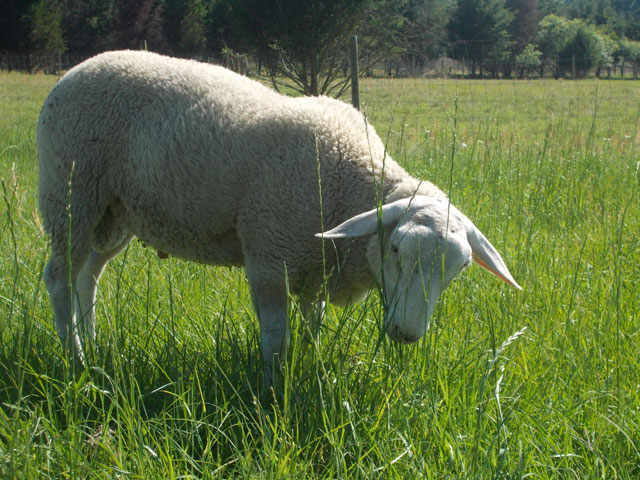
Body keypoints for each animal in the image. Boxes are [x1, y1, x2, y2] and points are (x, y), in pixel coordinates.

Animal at [37, 50, 524, 382]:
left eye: (459, 269)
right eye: (397, 249)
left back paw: (93, 344)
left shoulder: (314, 266)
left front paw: (309, 366)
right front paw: (274, 388)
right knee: (60, 278)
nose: (406, 333)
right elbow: (276, 341)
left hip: (114, 212)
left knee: (88, 275)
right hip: (71, 193)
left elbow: (312, 328)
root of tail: (77, 69)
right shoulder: (269, 259)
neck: (346, 184)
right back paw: (75, 357)